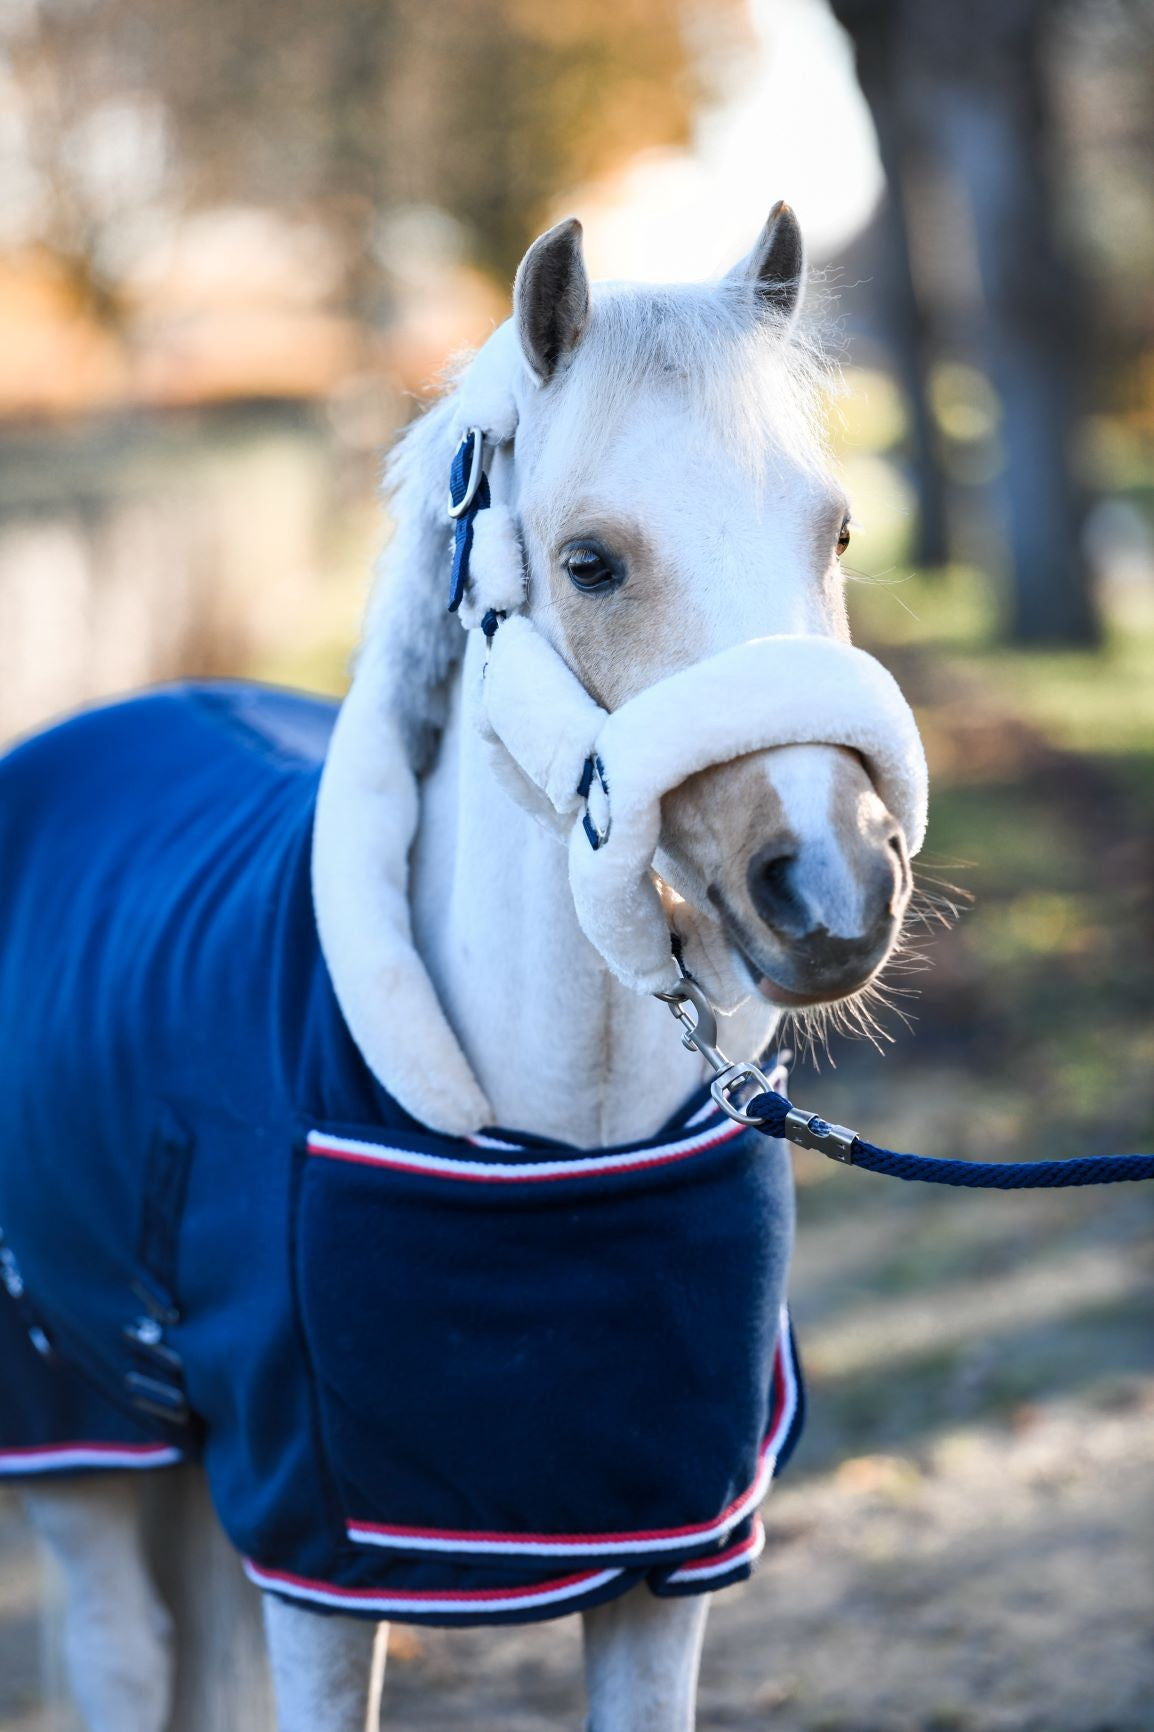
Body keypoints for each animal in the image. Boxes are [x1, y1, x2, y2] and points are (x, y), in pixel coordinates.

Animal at [17, 206, 921, 1732]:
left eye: (838, 528)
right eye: (591, 562)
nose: (831, 887)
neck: (562, 1131)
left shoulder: (665, 1564)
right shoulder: (322, 1565)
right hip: (77, 1442)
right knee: (121, 1654)